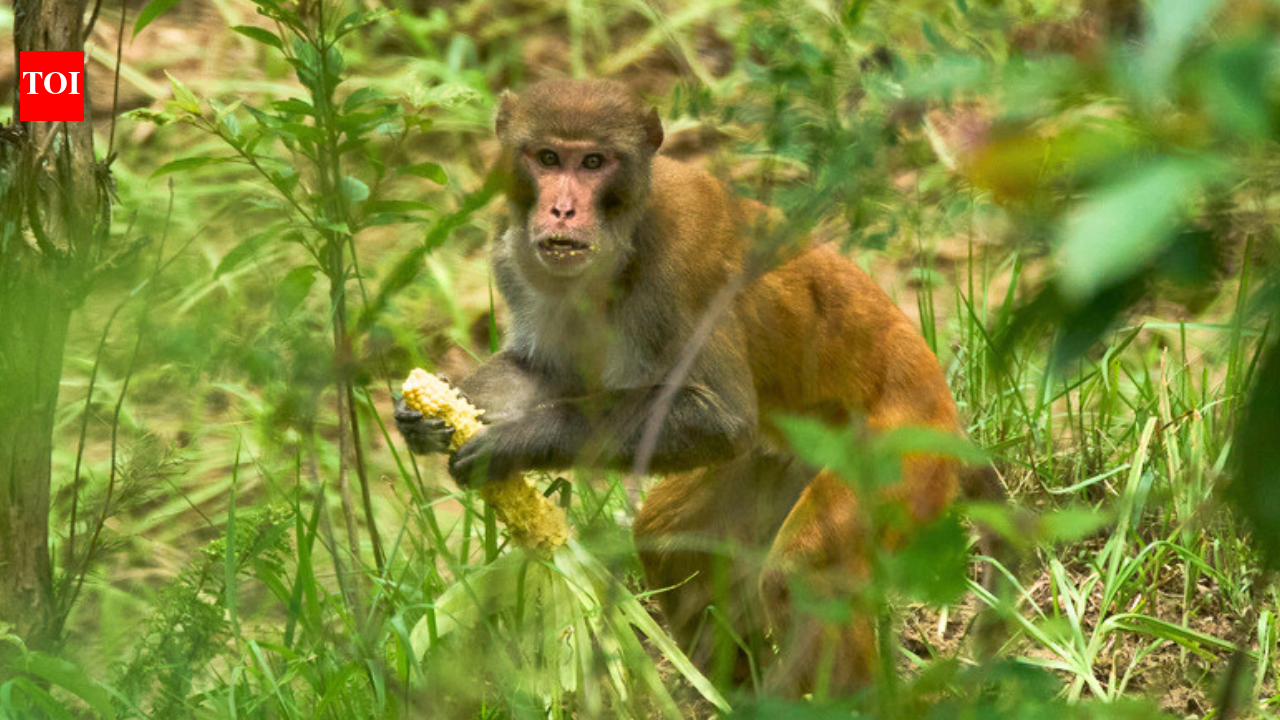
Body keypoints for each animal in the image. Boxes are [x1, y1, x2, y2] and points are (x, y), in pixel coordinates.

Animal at [395, 78, 973, 696]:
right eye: (547, 158)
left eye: (594, 162)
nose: (562, 208)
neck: (624, 235)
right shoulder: (513, 257)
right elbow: (544, 371)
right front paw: (430, 415)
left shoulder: (682, 269)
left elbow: (721, 419)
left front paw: (514, 442)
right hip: (785, 462)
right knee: (671, 538)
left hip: (903, 456)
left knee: (800, 575)